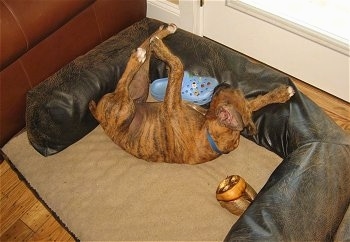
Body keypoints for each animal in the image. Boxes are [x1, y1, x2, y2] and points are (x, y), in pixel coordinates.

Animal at [89, 24, 294, 164]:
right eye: (232, 91)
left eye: (222, 92)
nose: (223, 83)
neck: (210, 133)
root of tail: (98, 115)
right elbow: (253, 103)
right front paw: (282, 93)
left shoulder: (171, 104)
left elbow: (178, 65)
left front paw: (162, 50)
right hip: (139, 87)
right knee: (144, 47)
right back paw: (162, 31)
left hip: (125, 106)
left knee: (126, 78)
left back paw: (146, 50)